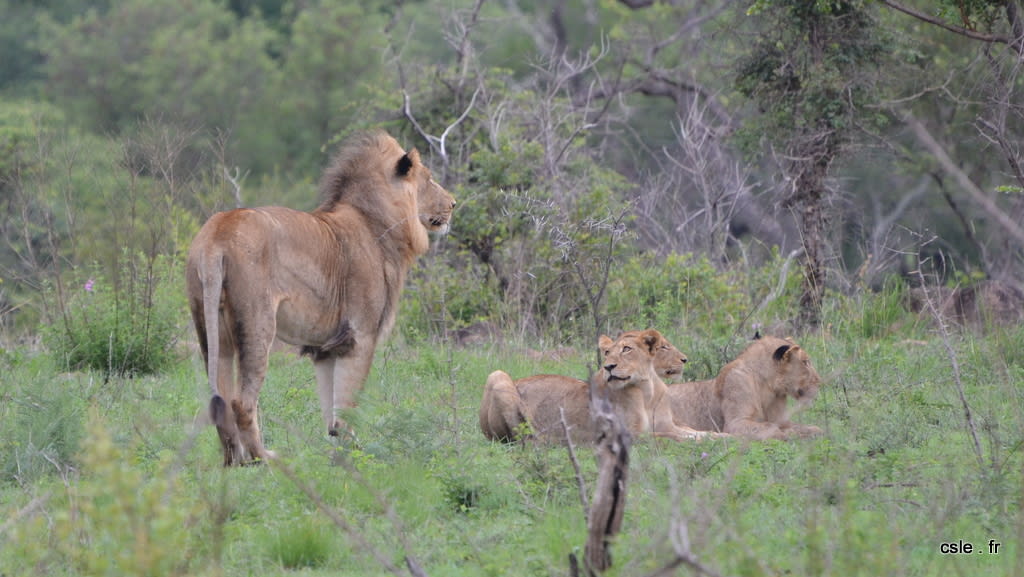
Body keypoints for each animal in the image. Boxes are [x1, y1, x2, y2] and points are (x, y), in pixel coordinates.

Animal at [185, 129, 456, 465]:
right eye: (429, 178)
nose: (453, 204)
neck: (376, 221)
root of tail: (217, 234)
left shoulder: (328, 347)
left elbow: (331, 412)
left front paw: (335, 455)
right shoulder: (360, 337)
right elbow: (348, 405)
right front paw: (355, 456)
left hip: (211, 330)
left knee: (220, 399)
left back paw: (234, 463)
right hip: (257, 325)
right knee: (242, 402)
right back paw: (264, 459)